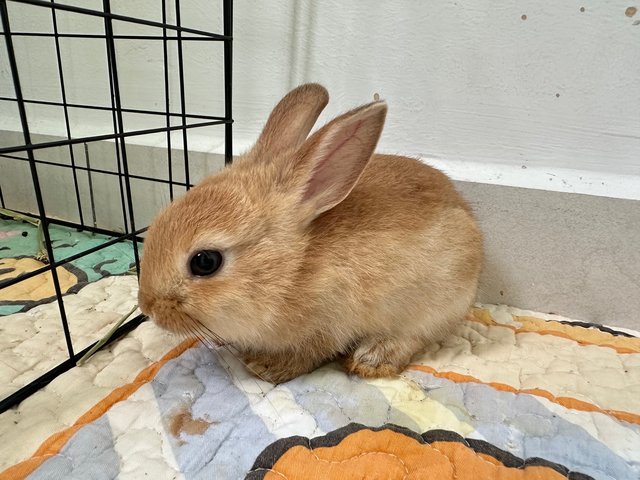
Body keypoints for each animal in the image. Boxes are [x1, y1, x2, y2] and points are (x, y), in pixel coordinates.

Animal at [138, 82, 482, 382]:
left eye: (205, 262)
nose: (147, 307)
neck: (292, 269)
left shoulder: (328, 325)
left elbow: (307, 354)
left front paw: (265, 367)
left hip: (436, 305)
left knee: (416, 336)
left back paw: (372, 358)